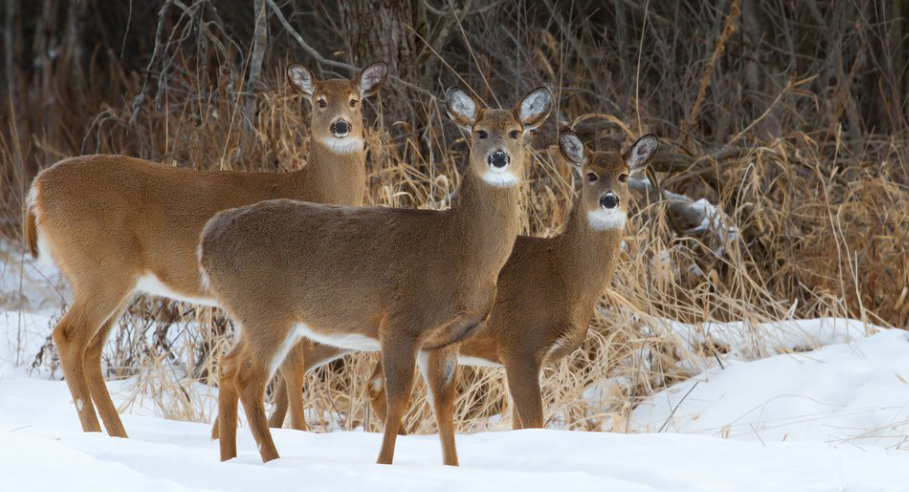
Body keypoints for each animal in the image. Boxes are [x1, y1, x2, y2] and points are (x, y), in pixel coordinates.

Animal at [24, 59, 386, 440]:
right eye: (319, 101)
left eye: (355, 100)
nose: (341, 126)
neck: (312, 189)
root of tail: (37, 190)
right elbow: (292, 367)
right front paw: (298, 434)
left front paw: (219, 435)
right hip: (100, 269)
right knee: (69, 336)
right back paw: (94, 431)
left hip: (119, 279)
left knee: (92, 348)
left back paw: (118, 434)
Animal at [197, 84, 552, 466]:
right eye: (479, 132)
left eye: (516, 133)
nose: (499, 158)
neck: (463, 252)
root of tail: (208, 239)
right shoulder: (401, 322)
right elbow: (398, 399)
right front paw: (384, 463)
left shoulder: (445, 340)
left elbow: (444, 407)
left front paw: (452, 468)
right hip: (267, 312)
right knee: (249, 378)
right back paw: (272, 459)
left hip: (248, 317)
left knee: (227, 367)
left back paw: (229, 457)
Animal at [330, 130, 656, 430]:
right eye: (590, 175)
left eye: (623, 176)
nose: (609, 200)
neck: (564, 275)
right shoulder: (520, 346)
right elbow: (534, 423)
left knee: (374, 387)